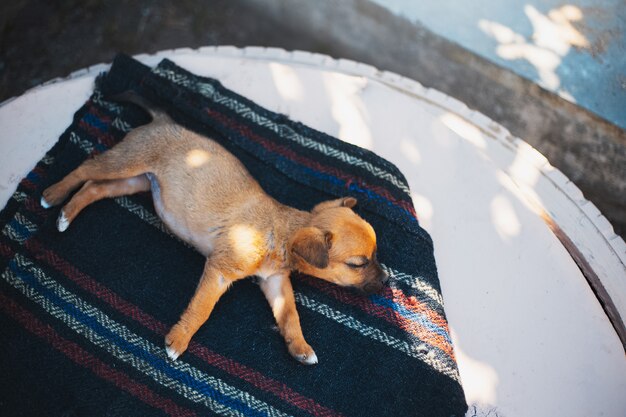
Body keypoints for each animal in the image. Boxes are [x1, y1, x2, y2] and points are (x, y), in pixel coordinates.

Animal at [40, 95, 386, 364]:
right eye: (358, 264)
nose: (387, 281)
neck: (281, 233)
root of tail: (163, 122)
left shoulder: (275, 283)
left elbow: (290, 316)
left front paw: (300, 347)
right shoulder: (220, 271)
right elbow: (203, 309)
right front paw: (179, 340)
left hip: (134, 181)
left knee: (94, 188)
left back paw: (66, 214)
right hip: (127, 163)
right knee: (86, 168)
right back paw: (53, 195)